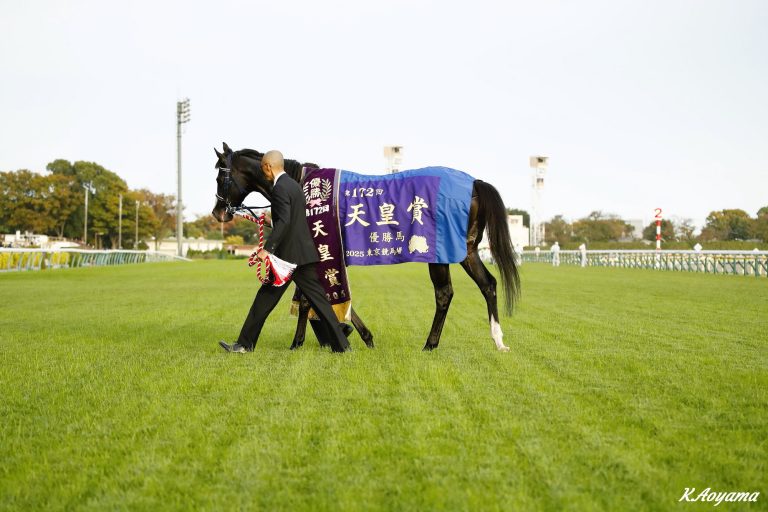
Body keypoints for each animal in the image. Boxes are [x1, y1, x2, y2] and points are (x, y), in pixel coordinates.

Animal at [211, 143, 521, 351]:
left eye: (219, 178)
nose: (218, 213)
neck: (301, 185)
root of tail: (474, 183)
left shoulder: (319, 251)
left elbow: (308, 299)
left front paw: (303, 341)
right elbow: (317, 296)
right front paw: (349, 334)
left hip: (440, 254)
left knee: (444, 293)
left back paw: (430, 344)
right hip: (467, 249)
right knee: (488, 284)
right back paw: (498, 340)